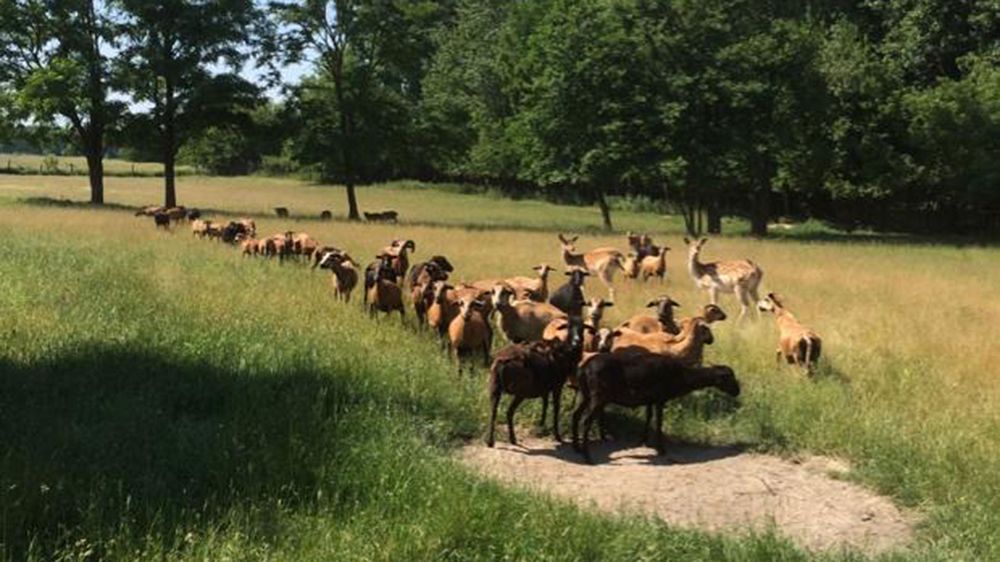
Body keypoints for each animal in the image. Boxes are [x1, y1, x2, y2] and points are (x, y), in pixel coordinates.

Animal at [486, 315, 587, 447]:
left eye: (582, 328)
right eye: (568, 327)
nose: (577, 341)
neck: (565, 351)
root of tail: (503, 362)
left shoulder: (545, 386)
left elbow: (545, 403)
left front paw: (541, 425)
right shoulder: (557, 386)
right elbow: (556, 408)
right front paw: (557, 436)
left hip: (494, 388)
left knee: (493, 412)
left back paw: (492, 441)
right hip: (520, 392)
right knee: (509, 412)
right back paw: (512, 439)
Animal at [572, 354, 740, 463]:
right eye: (729, 377)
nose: (738, 391)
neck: (683, 376)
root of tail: (585, 367)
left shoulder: (650, 400)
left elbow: (649, 417)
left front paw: (643, 441)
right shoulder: (660, 399)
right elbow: (659, 423)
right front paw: (661, 448)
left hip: (585, 394)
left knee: (575, 415)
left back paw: (577, 448)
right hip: (598, 396)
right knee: (586, 421)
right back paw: (587, 457)